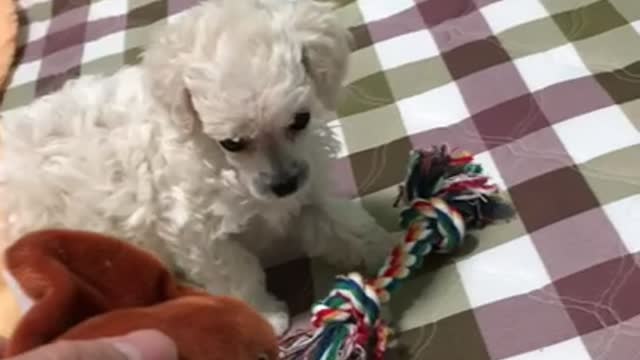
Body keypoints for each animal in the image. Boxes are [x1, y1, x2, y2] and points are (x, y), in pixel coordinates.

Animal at [0, 0, 392, 334]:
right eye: (232, 143)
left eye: (300, 120)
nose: (284, 184)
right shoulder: (197, 231)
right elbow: (236, 270)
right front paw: (265, 315)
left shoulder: (308, 186)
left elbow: (341, 223)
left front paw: (386, 247)